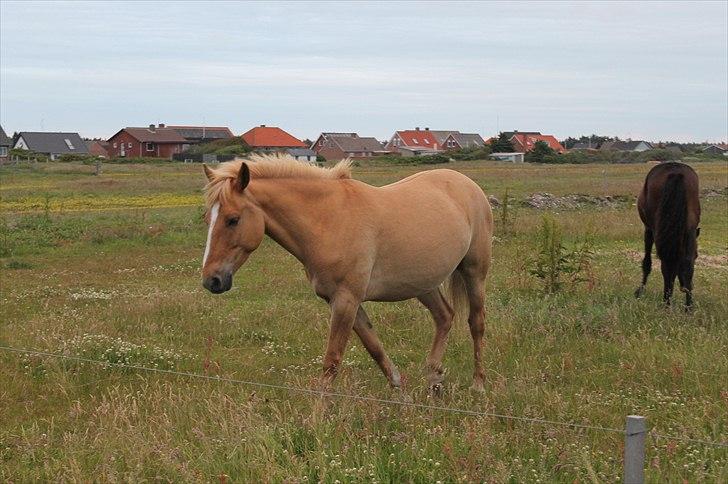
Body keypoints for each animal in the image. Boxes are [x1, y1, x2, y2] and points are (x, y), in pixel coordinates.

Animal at [202, 155, 492, 394]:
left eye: (233, 219)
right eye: (208, 219)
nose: (211, 280)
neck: (329, 220)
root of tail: (468, 185)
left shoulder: (346, 301)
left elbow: (332, 360)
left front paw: (318, 417)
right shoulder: (341, 301)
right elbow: (375, 349)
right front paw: (401, 394)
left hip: (474, 273)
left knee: (476, 322)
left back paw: (478, 384)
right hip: (423, 284)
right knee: (444, 317)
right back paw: (433, 378)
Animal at [636, 162, 700, 306]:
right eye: (697, 256)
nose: (685, 287)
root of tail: (676, 172)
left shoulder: (649, 230)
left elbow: (647, 262)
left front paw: (640, 291)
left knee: (666, 265)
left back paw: (667, 302)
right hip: (689, 230)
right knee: (685, 263)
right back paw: (688, 306)